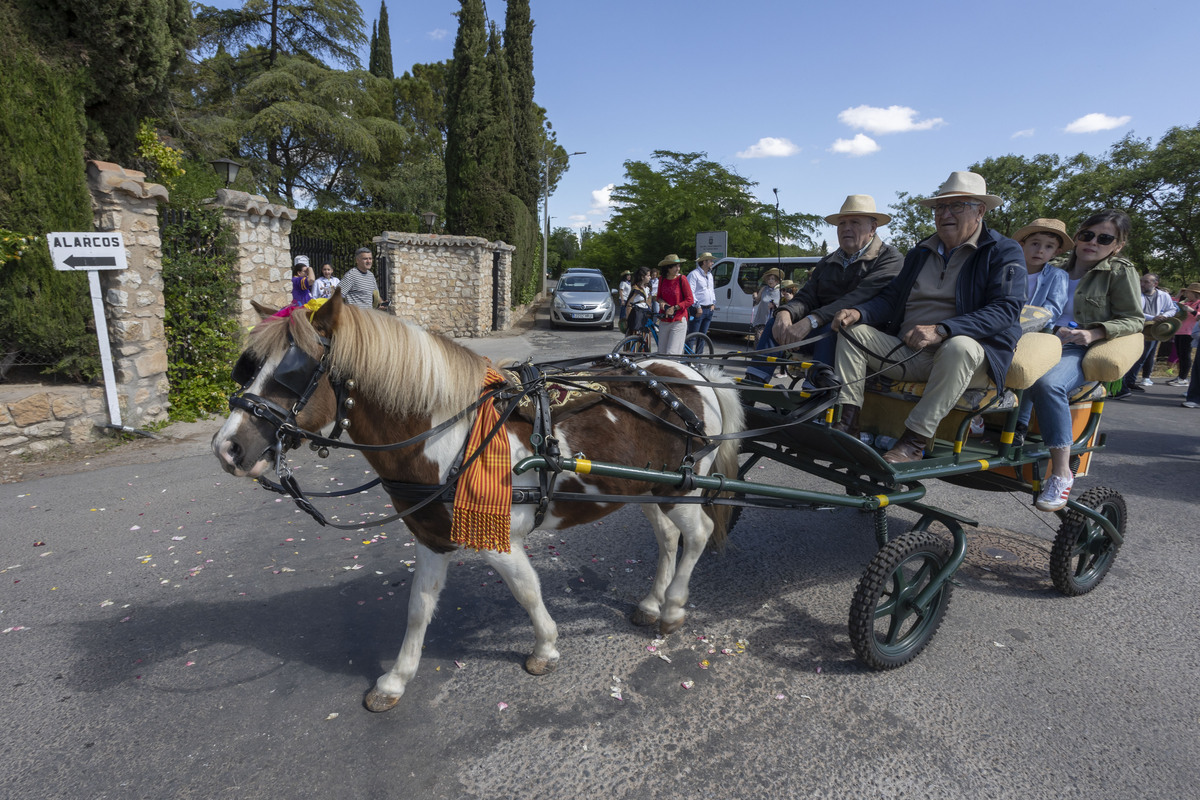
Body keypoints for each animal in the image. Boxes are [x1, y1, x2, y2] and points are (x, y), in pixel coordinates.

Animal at [213, 293, 739, 714]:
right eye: (250, 365)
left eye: (294, 372)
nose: (227, 448)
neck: (452, 437)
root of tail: (693, 371)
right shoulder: (431, 538)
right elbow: (419, 607)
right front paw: (396, 679)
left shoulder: (498, 541)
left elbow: (527, 591)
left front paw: (545, 650)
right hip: (648, 490)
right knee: (668, 537)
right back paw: (652, 602)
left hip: (682, 488)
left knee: (696, 535)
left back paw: (672, 609)